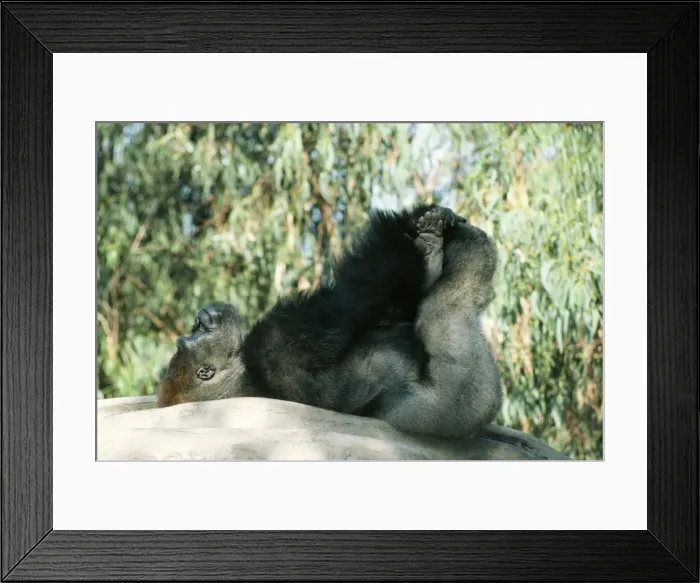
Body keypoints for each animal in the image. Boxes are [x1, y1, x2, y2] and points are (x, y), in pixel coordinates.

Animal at [157, 204, 502, 439]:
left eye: (193, 331)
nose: (202, 318)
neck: (244, 373)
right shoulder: (277, 340)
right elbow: (354, 297)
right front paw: (411, 234)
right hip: (455, 403)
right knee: (456, 301)